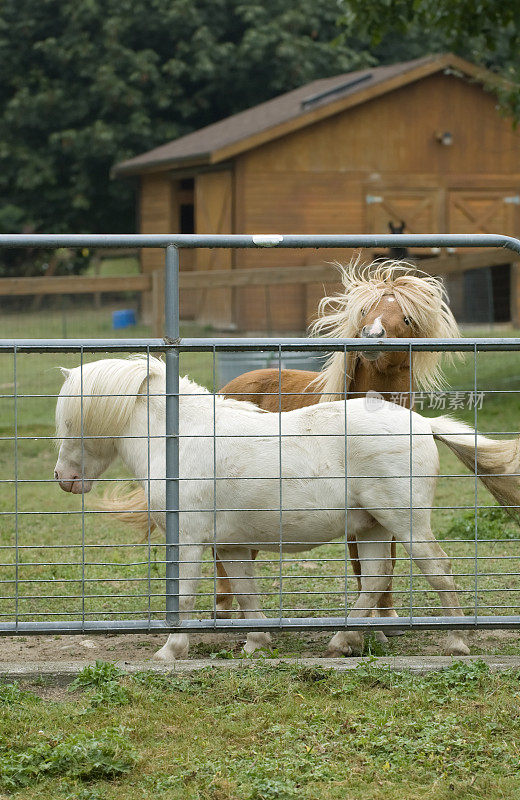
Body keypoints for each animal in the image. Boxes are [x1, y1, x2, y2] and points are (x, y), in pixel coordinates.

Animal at [53, 360, 520, 660]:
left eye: (71, 422)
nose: (64, 478)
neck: (180, 440)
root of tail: (421, 423)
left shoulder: (188, 542)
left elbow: (183, 595)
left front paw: (170, 651)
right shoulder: (231, 546)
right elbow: (245, 592)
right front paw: (257, 642)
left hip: (405, 524)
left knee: (437, 570)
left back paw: (455, 641)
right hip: (371, 528)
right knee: (374, 578)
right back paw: (344, 641)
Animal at [217, 260, 462, 620]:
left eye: (405, 319)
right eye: (365, 312)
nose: (371, 335)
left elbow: (387, 560)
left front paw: (386, 615)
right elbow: (362, 565)